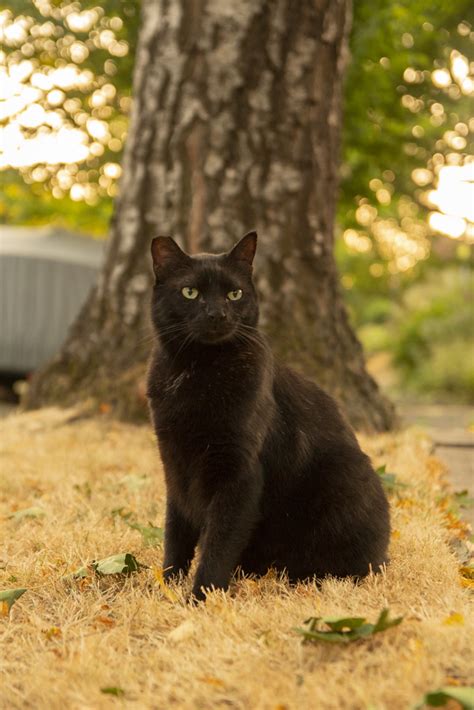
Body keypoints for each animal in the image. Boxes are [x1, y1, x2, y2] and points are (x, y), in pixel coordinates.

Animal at [147, 232, 388, 600]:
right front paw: (169, 584)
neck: (197, 370)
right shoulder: (175, 465)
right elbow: (176, 532)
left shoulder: (239, 474)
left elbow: (218, 542)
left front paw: (202, 597)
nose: (217, 314)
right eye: (190, 293)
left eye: (234, 294)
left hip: (345, 478)